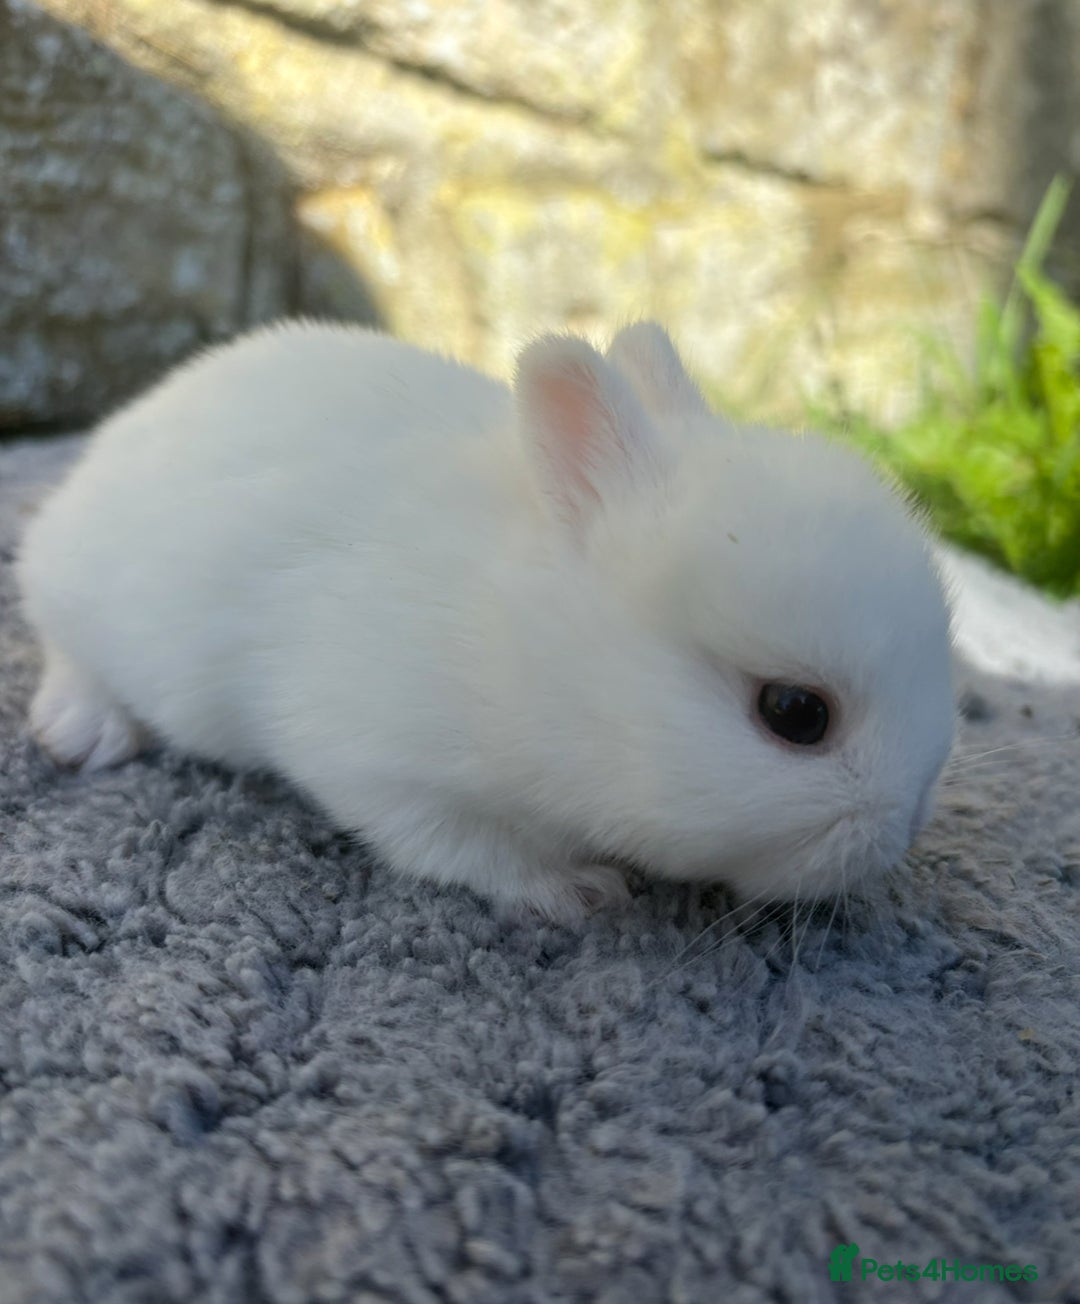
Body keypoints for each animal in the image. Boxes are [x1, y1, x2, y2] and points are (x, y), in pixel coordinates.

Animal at [16, 320, 956, 921]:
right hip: (81, 592)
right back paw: (84, 729)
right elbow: (460, 847)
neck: (537, 647)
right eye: (795, 714)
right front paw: (576, 892)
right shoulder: (379, 762)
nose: (906, 825)